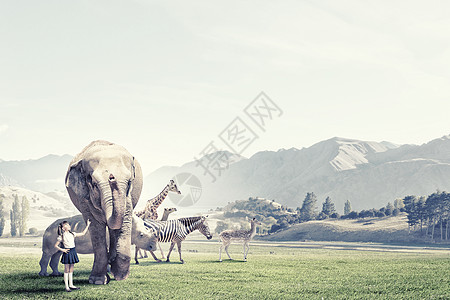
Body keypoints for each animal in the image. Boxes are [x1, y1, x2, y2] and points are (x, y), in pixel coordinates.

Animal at [64, 141, 142, 284]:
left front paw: (120, 276)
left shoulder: (128, 197)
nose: (112, 177)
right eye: (94, 184)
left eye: (129, 182)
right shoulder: (84, 199)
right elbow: (96, 228)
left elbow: (123, 223)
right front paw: (98, 281)